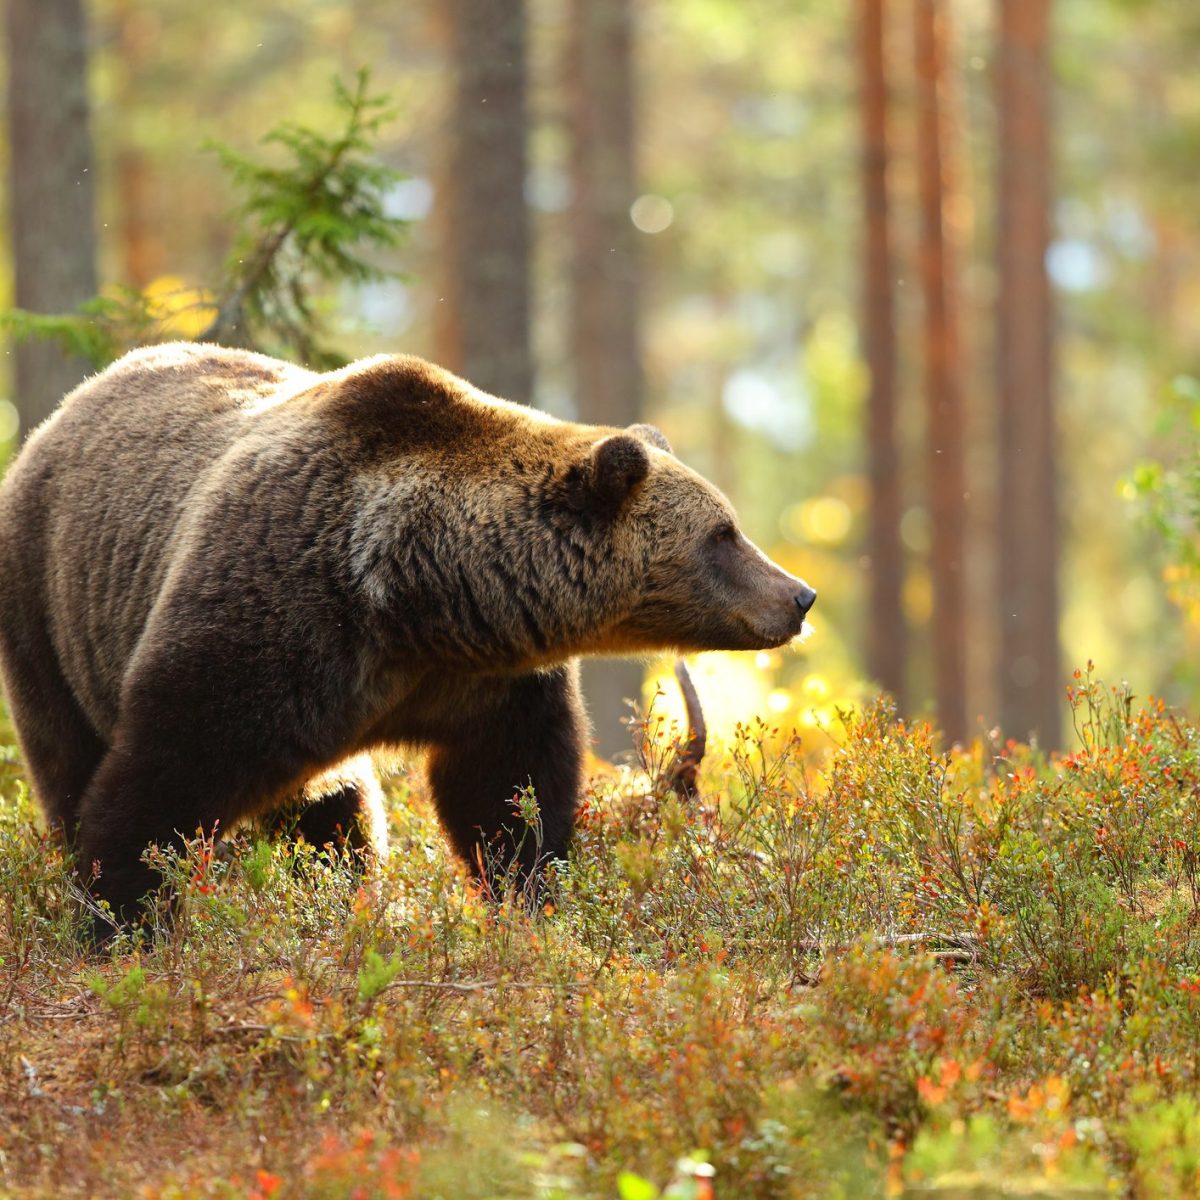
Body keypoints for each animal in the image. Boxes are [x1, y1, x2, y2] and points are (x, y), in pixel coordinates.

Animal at [0, 342, 816, 927]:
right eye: (723, 533)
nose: (799, 596)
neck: (417, 597)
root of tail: (60, 413)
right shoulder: (270, 617)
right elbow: (166, 770)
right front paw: (122, 912)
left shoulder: (485, 682)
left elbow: (506, 790)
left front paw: (529, 893)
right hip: (46, 607)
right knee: (67, 753)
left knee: (334, 812)